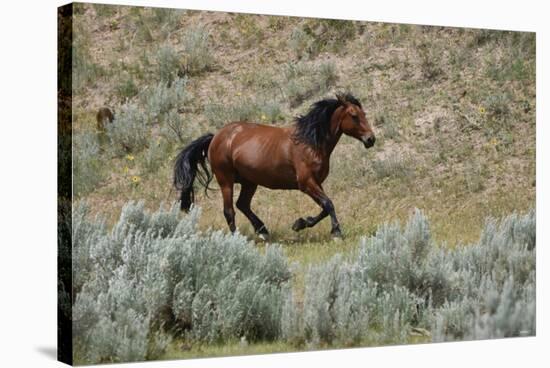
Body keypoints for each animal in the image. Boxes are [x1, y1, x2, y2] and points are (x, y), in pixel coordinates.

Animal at [175, 93, 378, 239]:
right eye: (354, 115)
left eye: (364, 114)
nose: (371, 139)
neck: (310, 143)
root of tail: (215, 137)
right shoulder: (306, 183)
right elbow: (328, 204)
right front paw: (336, 232)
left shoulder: (316, 183)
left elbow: (325, 207)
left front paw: (300, 223)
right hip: (226, 180)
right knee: (229, 210)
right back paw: (237, 238)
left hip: (250, 182)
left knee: (242, 204)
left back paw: (263, 231)